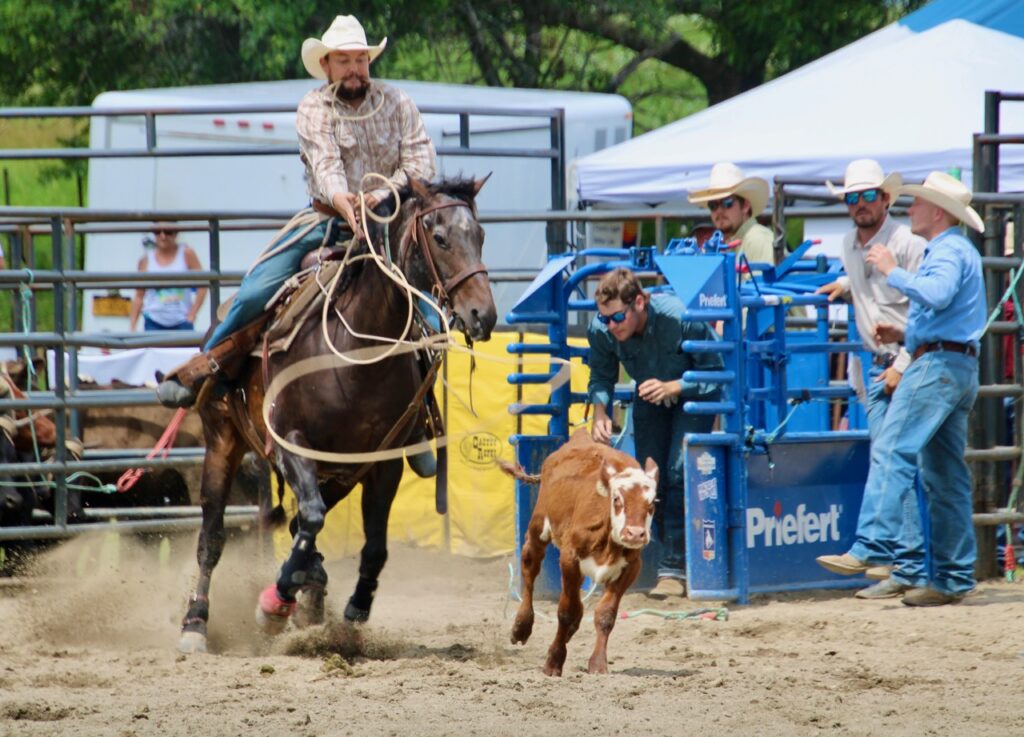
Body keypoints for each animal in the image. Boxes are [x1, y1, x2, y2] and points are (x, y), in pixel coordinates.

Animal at [499, 428, 658, 676]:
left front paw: (598, 663)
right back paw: (521, 626)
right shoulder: (569, 558)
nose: (635, 534)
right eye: (617, 498)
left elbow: (605, 614)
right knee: (529, 570)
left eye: (651, 504)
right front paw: (554, 661)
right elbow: (566, 611)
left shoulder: (631, 567)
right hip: (538, 528)